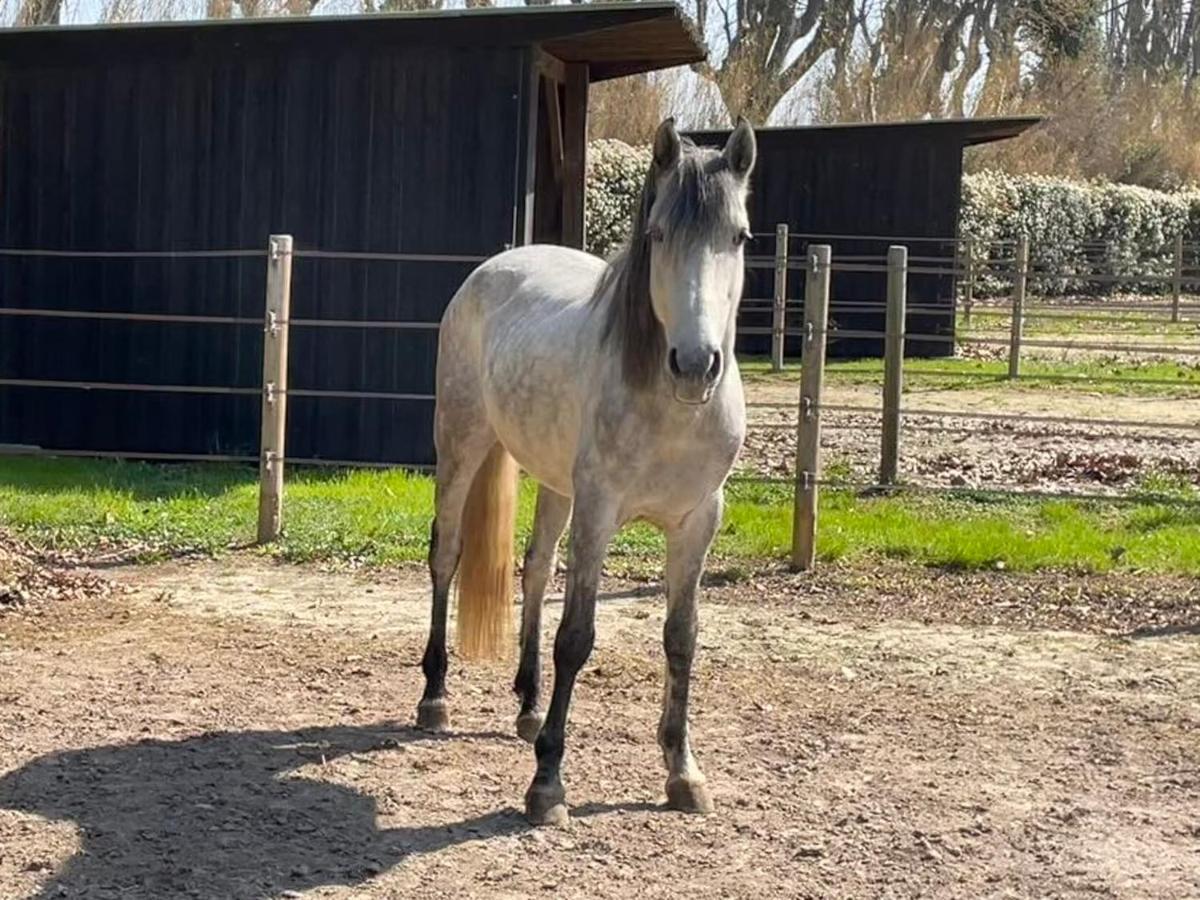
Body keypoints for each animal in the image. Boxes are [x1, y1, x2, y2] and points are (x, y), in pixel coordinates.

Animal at [417, 116, 753, 830]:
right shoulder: (598, 513)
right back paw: (434, 697)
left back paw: (527, 706)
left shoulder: (698, 522)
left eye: (737, 237)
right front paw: (547, 783)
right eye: (658, 234)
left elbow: (681, 638)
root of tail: (493, 268)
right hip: (460, 447)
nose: (696, 365)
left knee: (535, 570)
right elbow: (577, 637)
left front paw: (683, 773)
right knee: (447, 555)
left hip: (553, 485)